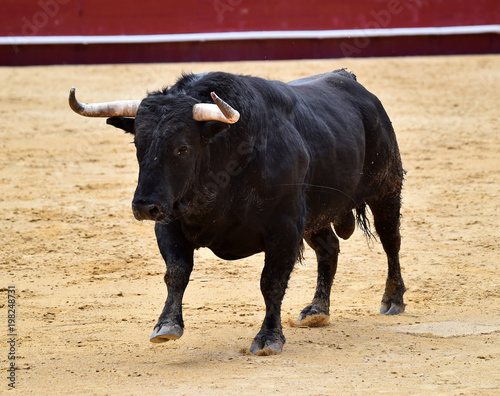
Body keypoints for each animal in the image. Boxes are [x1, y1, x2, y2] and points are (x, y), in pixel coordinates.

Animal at [69, 69, 406, 354]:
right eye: (138, 144)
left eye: (182, 147)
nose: (144, 206)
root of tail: (351, 82)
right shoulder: (169, 223)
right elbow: (176, 272)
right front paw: (166, 326)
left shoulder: (284, 229)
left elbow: (271, 282)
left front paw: (268, 338)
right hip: (315, 215)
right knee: (329, 249)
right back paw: (316, 311)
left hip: (386, 189)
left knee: (391, 242)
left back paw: (393, 300)